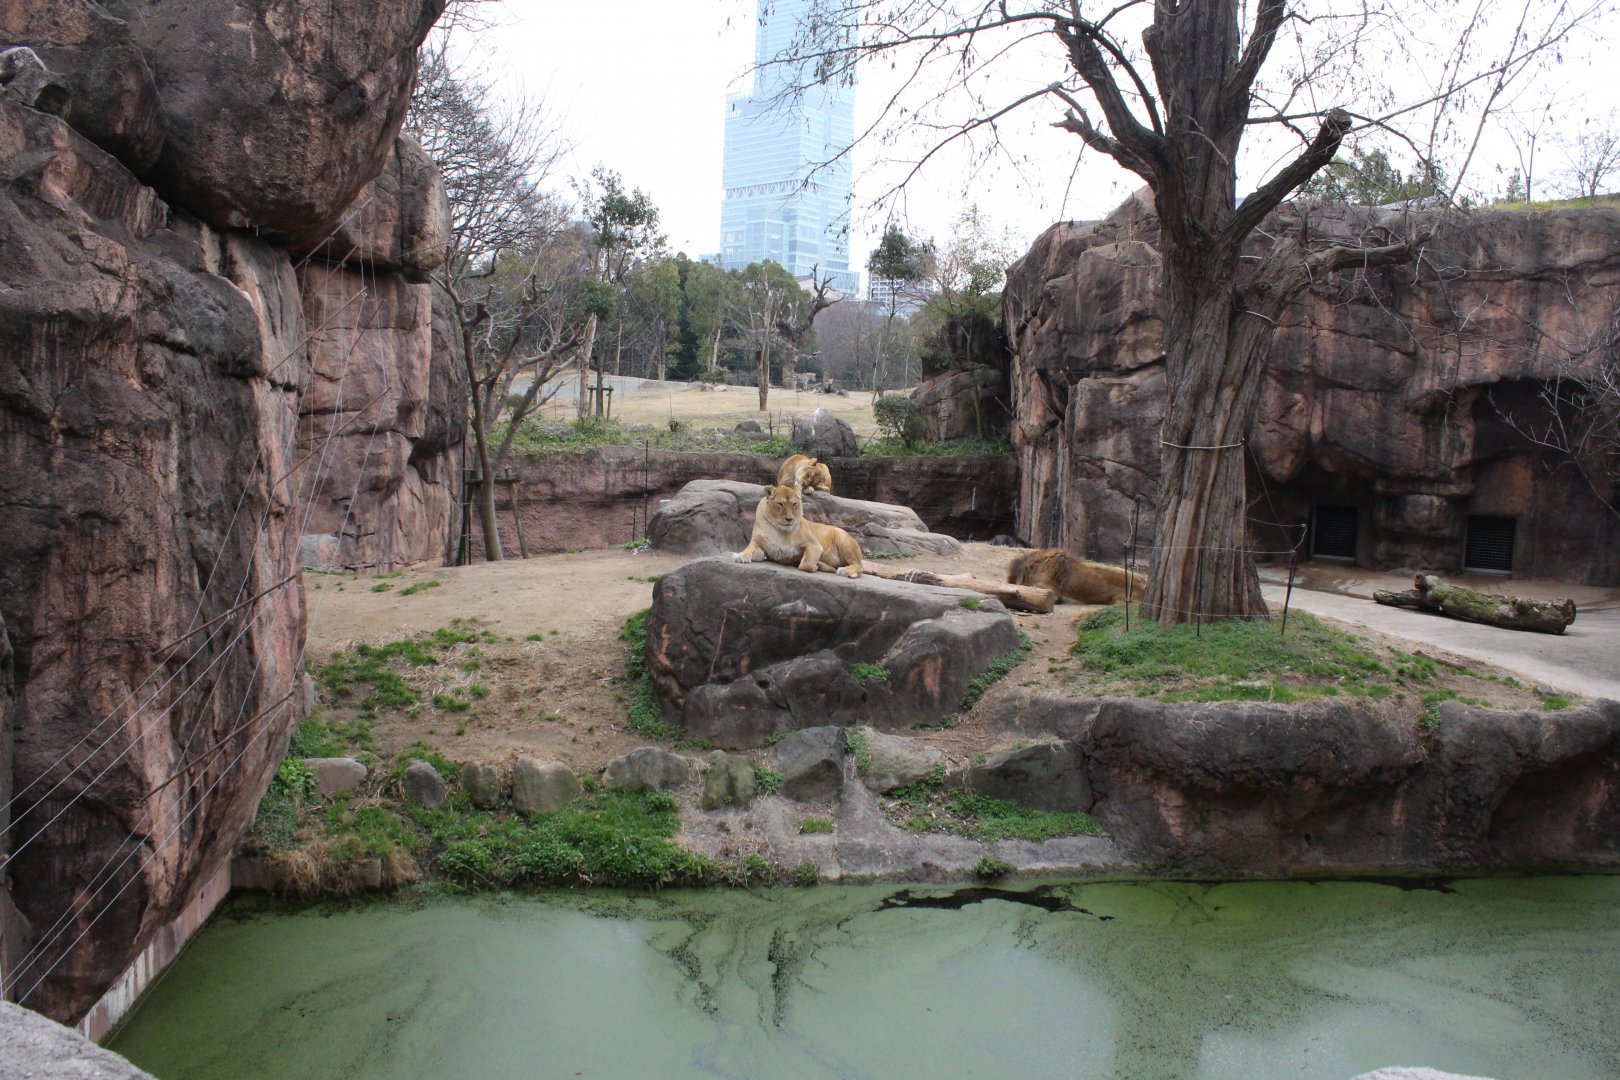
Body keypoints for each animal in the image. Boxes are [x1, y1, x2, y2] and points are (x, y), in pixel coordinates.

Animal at [733, 484, 864, 578]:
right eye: (780, 504)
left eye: (794, 504)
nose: (789, 519)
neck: (780, 530)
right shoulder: (759, 545)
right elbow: (749, 550)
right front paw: (740, 556)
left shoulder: (814, 545)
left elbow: (805, 564)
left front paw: (814, 566)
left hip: (842, 538)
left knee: (859, 565)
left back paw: (845, 571)